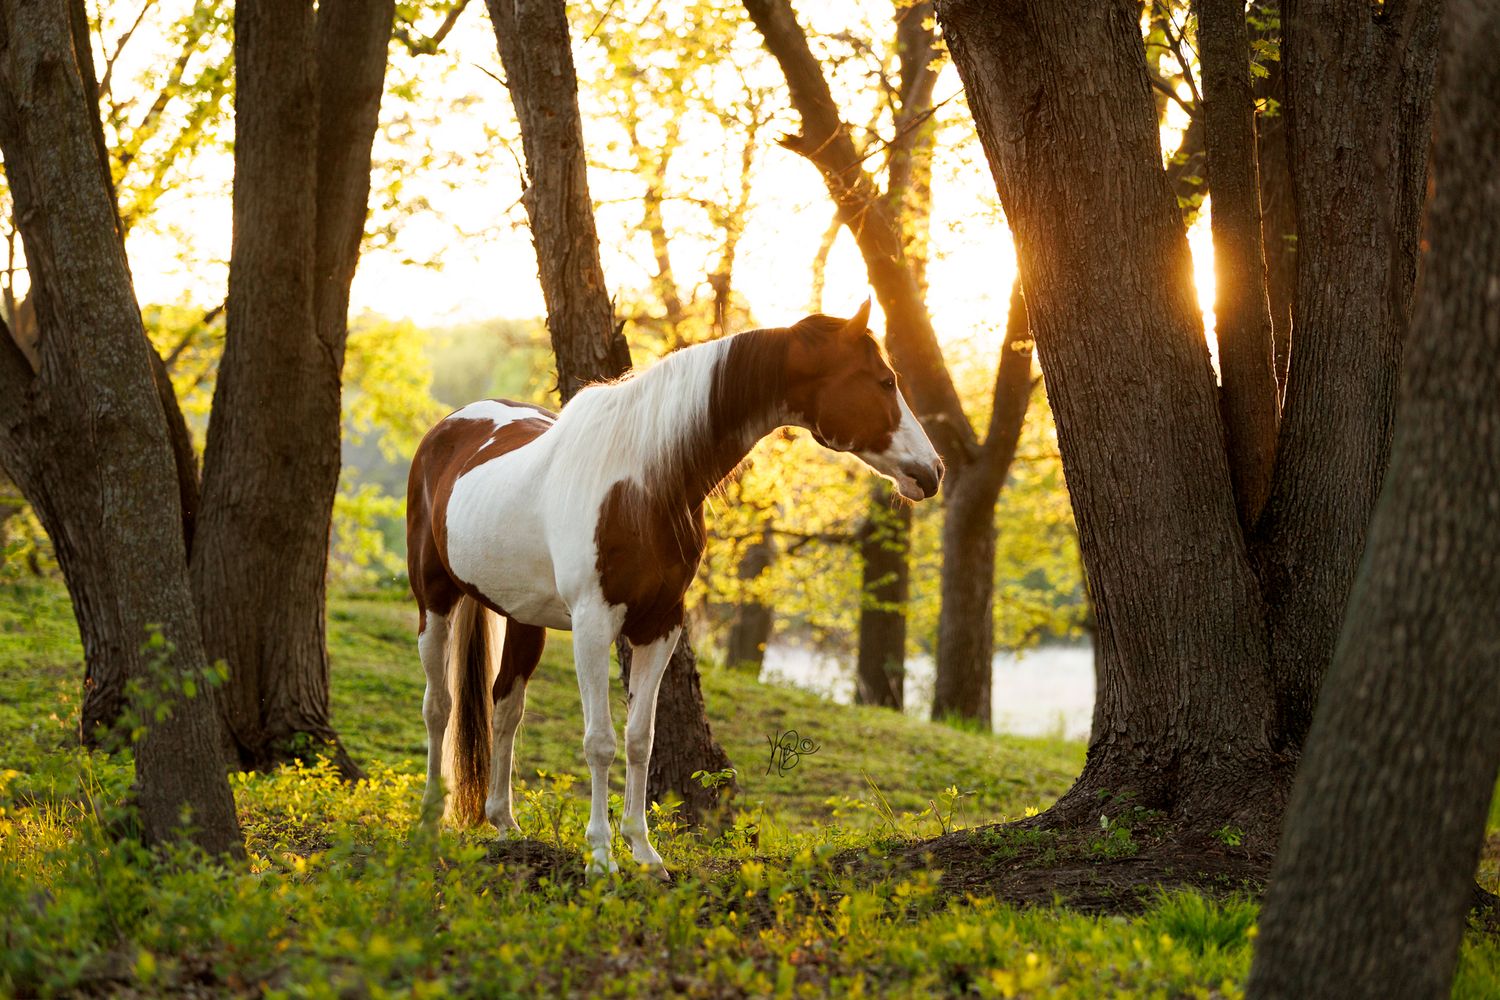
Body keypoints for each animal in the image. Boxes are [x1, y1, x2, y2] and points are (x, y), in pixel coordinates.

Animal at [404, 300, 943, 878]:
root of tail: (449, 426)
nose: (933, 472)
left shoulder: (660, 625)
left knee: (505, 706)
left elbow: (640, 739)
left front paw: (644, 853)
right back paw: (429, 820)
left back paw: (504, 823)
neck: (644, 483)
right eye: (884, 380)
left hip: (524, 617)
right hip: (434, 602)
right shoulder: (593, 625)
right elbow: (600, 741)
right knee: (439, 706)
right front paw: (601, 857)